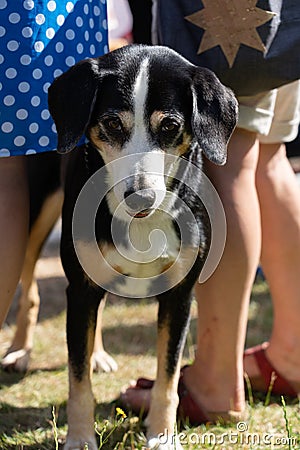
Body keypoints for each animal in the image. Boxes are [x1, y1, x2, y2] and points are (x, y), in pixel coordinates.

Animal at [48, 44, 238, 450]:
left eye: (169, 126)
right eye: (112, 124)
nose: (140, 197)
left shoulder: (180, 295)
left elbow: (167, 376)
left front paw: (162, 436)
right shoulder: (81, 288)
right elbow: (77, 378)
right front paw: (80, 438)